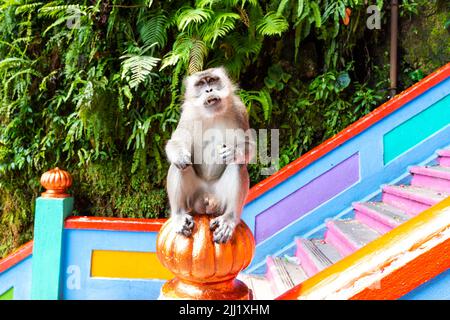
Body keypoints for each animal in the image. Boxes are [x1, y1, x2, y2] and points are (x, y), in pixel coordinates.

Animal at [166, 67, 256, 242]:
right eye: (201, 84)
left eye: (213, 80)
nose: (209, 90)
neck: (212, 114)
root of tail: (206, 198)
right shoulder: (188, 115)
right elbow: (177, 142)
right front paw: (180, 155)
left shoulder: (239, 109)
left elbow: (249, 146)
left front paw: (233, 151)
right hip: (193, 199)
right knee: (179, 166)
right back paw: (179, 215)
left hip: (220, 199)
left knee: (237, 165)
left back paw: (229, 219)